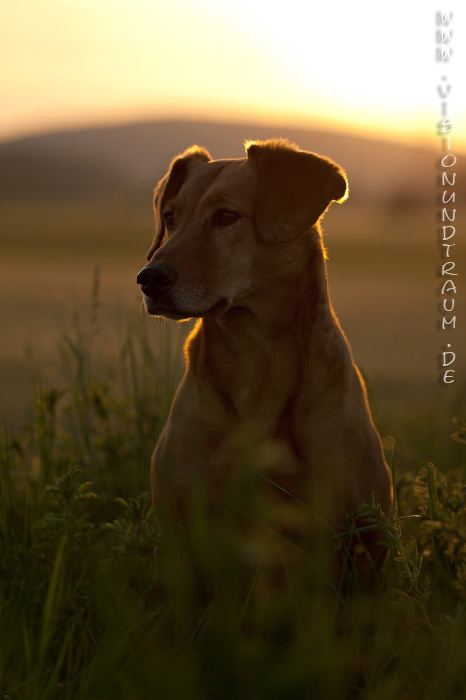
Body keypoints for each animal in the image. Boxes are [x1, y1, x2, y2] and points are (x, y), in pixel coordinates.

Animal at [137, 138, 392, 580]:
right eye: (169, 217)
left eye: (226, 216)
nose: (149, 278)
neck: (253, 353)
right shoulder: (180, 527)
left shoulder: (363, 540)